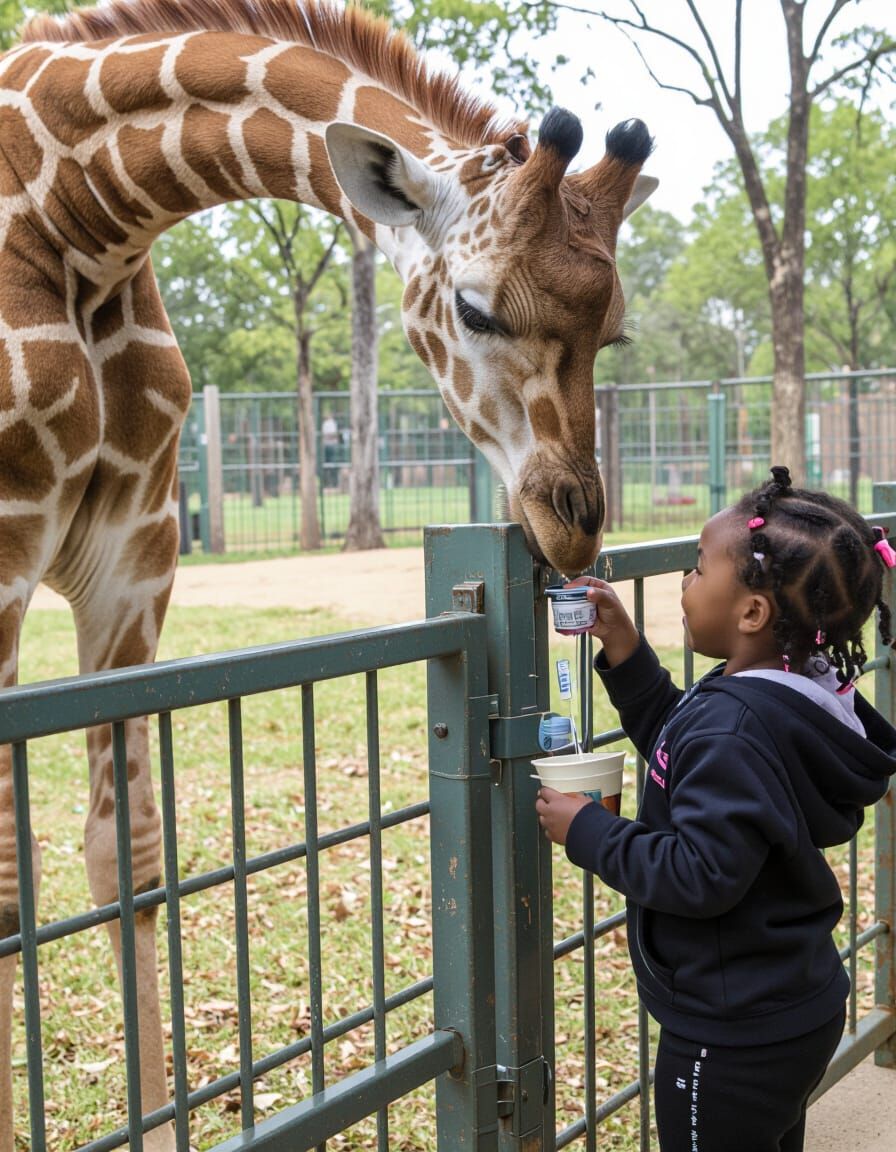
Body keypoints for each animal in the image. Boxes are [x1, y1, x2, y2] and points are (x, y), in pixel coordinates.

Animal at [0, 0, 656, 1144]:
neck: (80, 216)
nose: (570, 529)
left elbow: (130, 860)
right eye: (474, 309)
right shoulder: (2, 551)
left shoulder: (133, 563)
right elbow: (4, 886)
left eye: (611, 331)